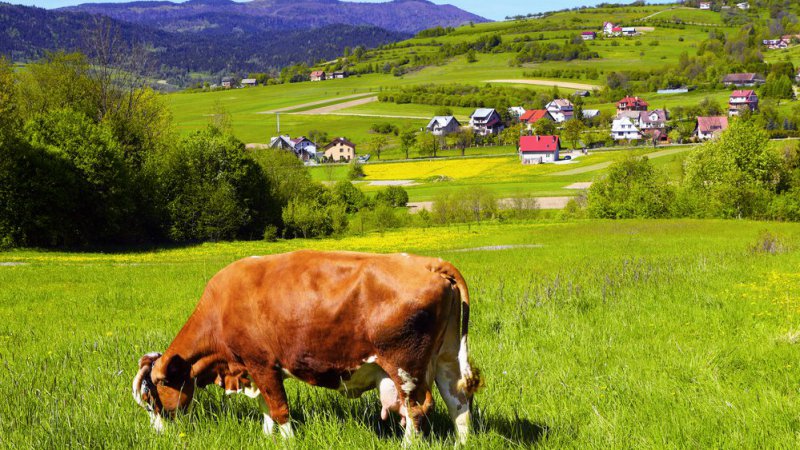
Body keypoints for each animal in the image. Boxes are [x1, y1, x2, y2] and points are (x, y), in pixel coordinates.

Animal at [132, 250, 482, 443]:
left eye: (151, 398)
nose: (156, 434)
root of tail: (429, 263)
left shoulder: (262, 364)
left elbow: (279, 409)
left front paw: (286, 440)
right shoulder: (253, 369)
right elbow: (267, 408)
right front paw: (266, 437)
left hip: (405, 366)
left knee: (416, 409)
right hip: (446, 357)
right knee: (457, 400)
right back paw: (461, 443)